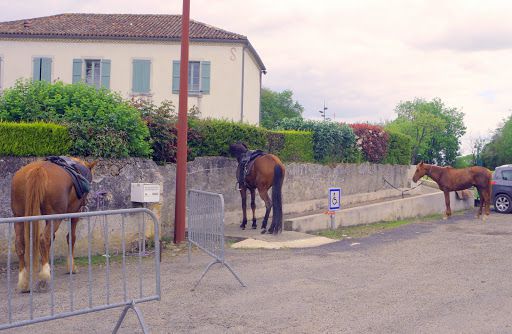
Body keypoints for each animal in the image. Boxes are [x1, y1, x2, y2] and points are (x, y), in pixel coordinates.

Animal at [10, 158, 97, 290]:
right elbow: (71, 238)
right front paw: (71, 267)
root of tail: (38, 169)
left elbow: (52, 239)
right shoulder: (74, 214)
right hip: (55, 218)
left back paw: (23, 281)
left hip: (19, 217)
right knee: (43, 239)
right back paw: (44, 276)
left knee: (20, 244)